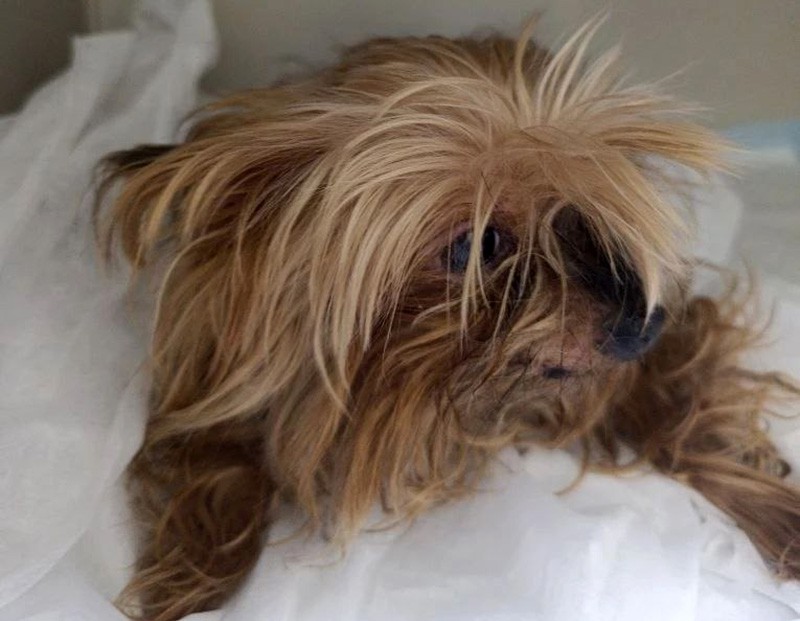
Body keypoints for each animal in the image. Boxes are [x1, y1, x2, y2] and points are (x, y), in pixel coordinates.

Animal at [95, 19, 800, 621]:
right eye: (478, 245)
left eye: (582, 217)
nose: (643, 326)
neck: (402, 392)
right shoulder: (207, 375)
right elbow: (218, 466)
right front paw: (190, 576)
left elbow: (677, 412)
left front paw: (776, 515)